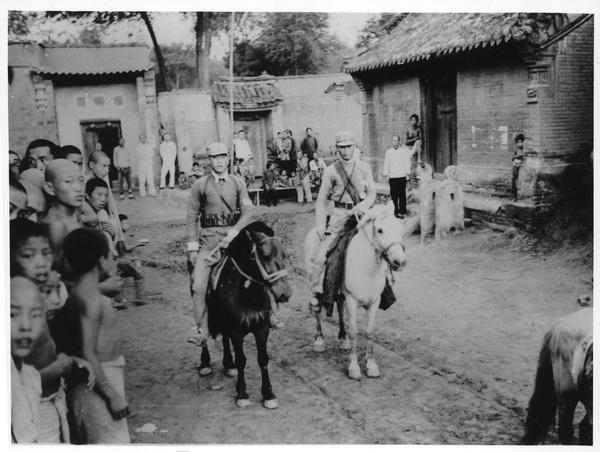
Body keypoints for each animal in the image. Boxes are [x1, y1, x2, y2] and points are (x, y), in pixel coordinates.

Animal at [203, 221, 292, 408]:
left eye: (284, 254)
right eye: (265, 256)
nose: (285, 293)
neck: (248, 295)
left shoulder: (262, 329)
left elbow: (263, 359)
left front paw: (268, 393)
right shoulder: (236, 331)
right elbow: (241, 360)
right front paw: (242, 393)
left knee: (225, 339)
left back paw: (228, 364)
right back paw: (208, 363)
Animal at [304, 201, 408, 378]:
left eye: (399, 228)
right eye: (380, 230)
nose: (399, 261)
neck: (367, 269)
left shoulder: (374, 303)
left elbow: (370, 332)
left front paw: (371, 365)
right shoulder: (352, 301)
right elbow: (354, 331)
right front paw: (354, 367)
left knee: (339, 307)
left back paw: (343, 339)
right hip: (316, 286)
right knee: (317, 310)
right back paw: (319, 341)